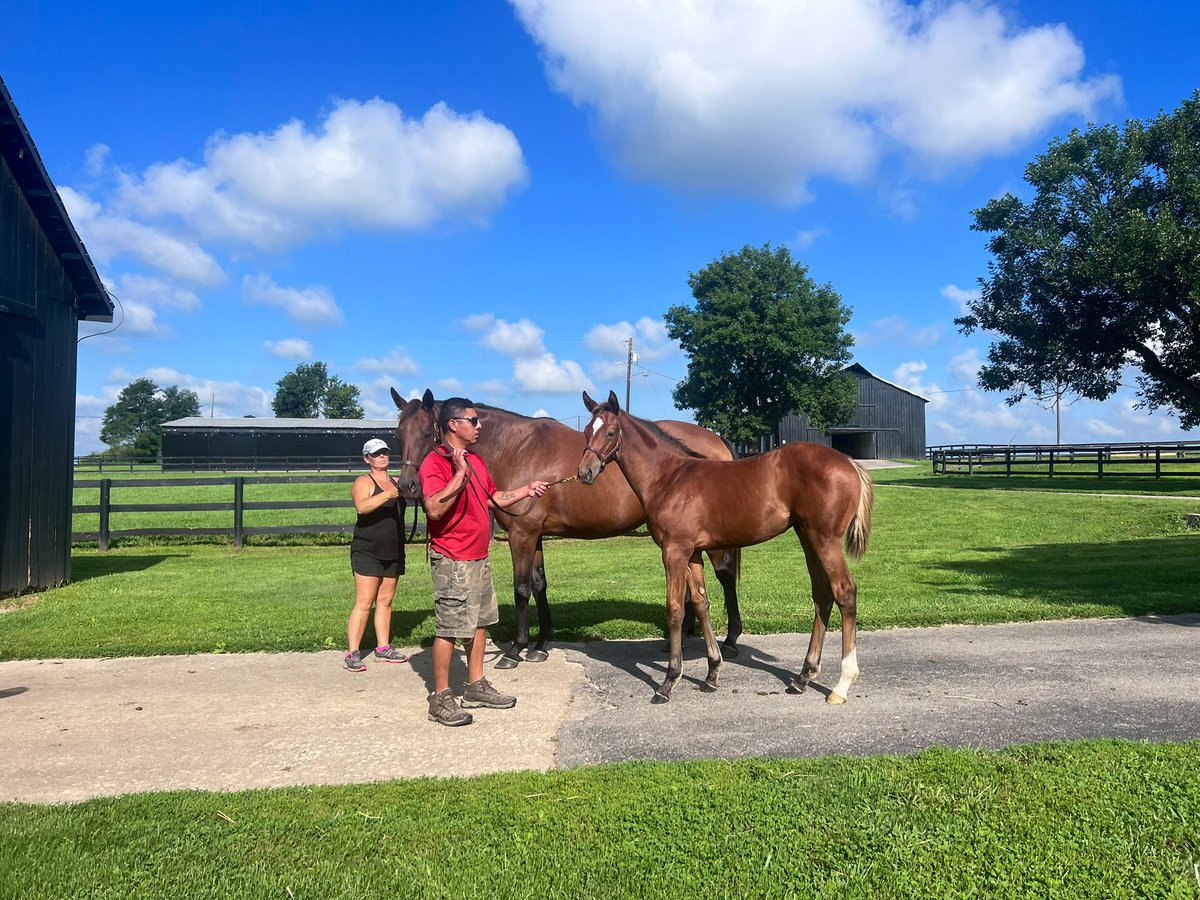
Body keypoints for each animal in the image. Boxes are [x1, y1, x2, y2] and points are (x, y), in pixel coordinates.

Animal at [391, 388, 744, 668]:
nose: (407, 486)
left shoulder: (521, 534)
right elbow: (539, 584)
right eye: (398, 433)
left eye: (426, 433)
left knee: (725, 576)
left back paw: (730, 639)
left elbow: (521, 588)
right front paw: (542, 643)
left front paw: (516, 649)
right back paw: (682, 636)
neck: (515, 448)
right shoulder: (534, 535)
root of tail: (716, 441)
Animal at [578, 390, 873, 705]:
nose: (585, 473)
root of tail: (850, 463)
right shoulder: (693, 553)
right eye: (587, 431)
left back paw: (841, 685)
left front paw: (668, 682)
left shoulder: (674, 551)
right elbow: (700, 603)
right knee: (822, 595)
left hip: (825, 540)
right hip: (808, 538)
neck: (670, 478)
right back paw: (803, 677)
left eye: (610, 432)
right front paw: (712, 674)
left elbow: (675, 609)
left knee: (845, 592)